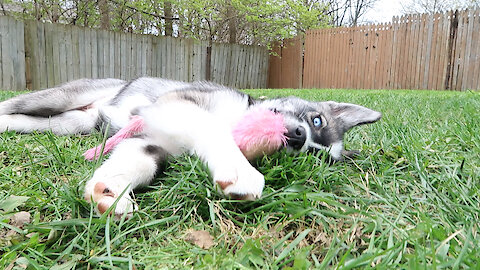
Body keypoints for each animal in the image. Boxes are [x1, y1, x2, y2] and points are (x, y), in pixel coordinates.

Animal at [0, 77, 382, 218]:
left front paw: (110, 190)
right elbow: (212, 128)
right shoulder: (182, 103)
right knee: (14, 104)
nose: (301, 138)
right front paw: (240, 169)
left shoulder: (151, 142)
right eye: (317, 120)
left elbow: (140, 161)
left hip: (66, 124)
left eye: (314, 156)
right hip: (58, 98)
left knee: (27, 121)